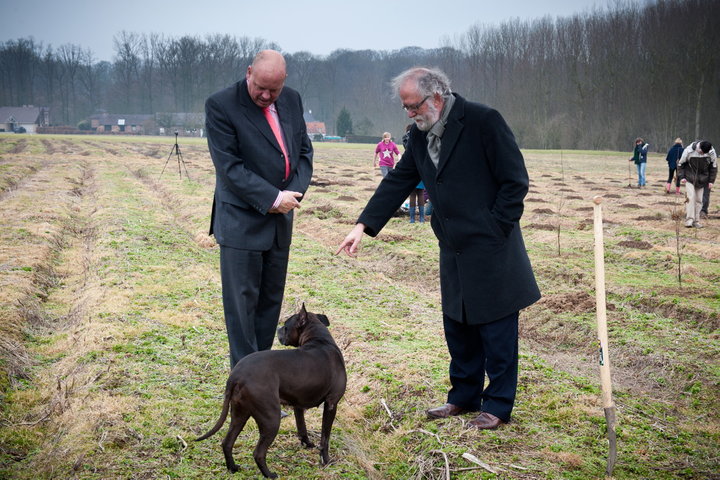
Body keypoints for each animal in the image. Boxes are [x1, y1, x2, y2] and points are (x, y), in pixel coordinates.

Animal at [195, 306, 344, 478]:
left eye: (285, 326)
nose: (279, 329)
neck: (320, 340)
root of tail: (237, 375)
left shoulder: (298, 405)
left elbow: (302, 427)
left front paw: (307, 444)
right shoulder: (331, 404)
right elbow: (325, 437)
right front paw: (326, 460)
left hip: (240, 414)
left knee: (227, 442)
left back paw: (232, 468)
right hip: (271, 419)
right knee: (258, 453)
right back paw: (269, 474)